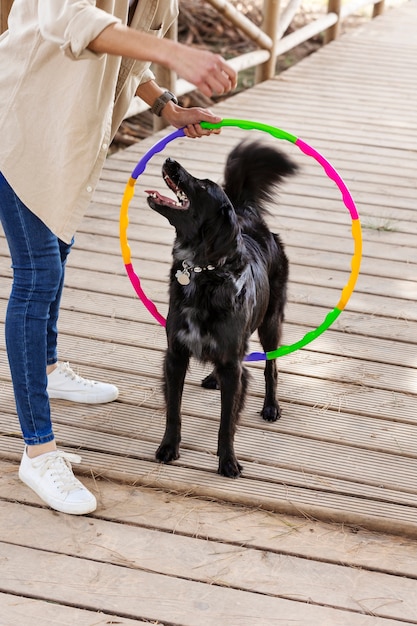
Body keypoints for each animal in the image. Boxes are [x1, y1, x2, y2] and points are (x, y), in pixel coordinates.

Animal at [146, 139, 296, 476]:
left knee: (271, 366)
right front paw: (168, 447)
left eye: (202, 186)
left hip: (271, 322)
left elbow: (227, 421)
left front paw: (228, 460)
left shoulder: (232, 366)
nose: (170, 160)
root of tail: (246, 211)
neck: (203, 272)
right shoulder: (175, 355)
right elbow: (173, 410)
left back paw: (271, 406)